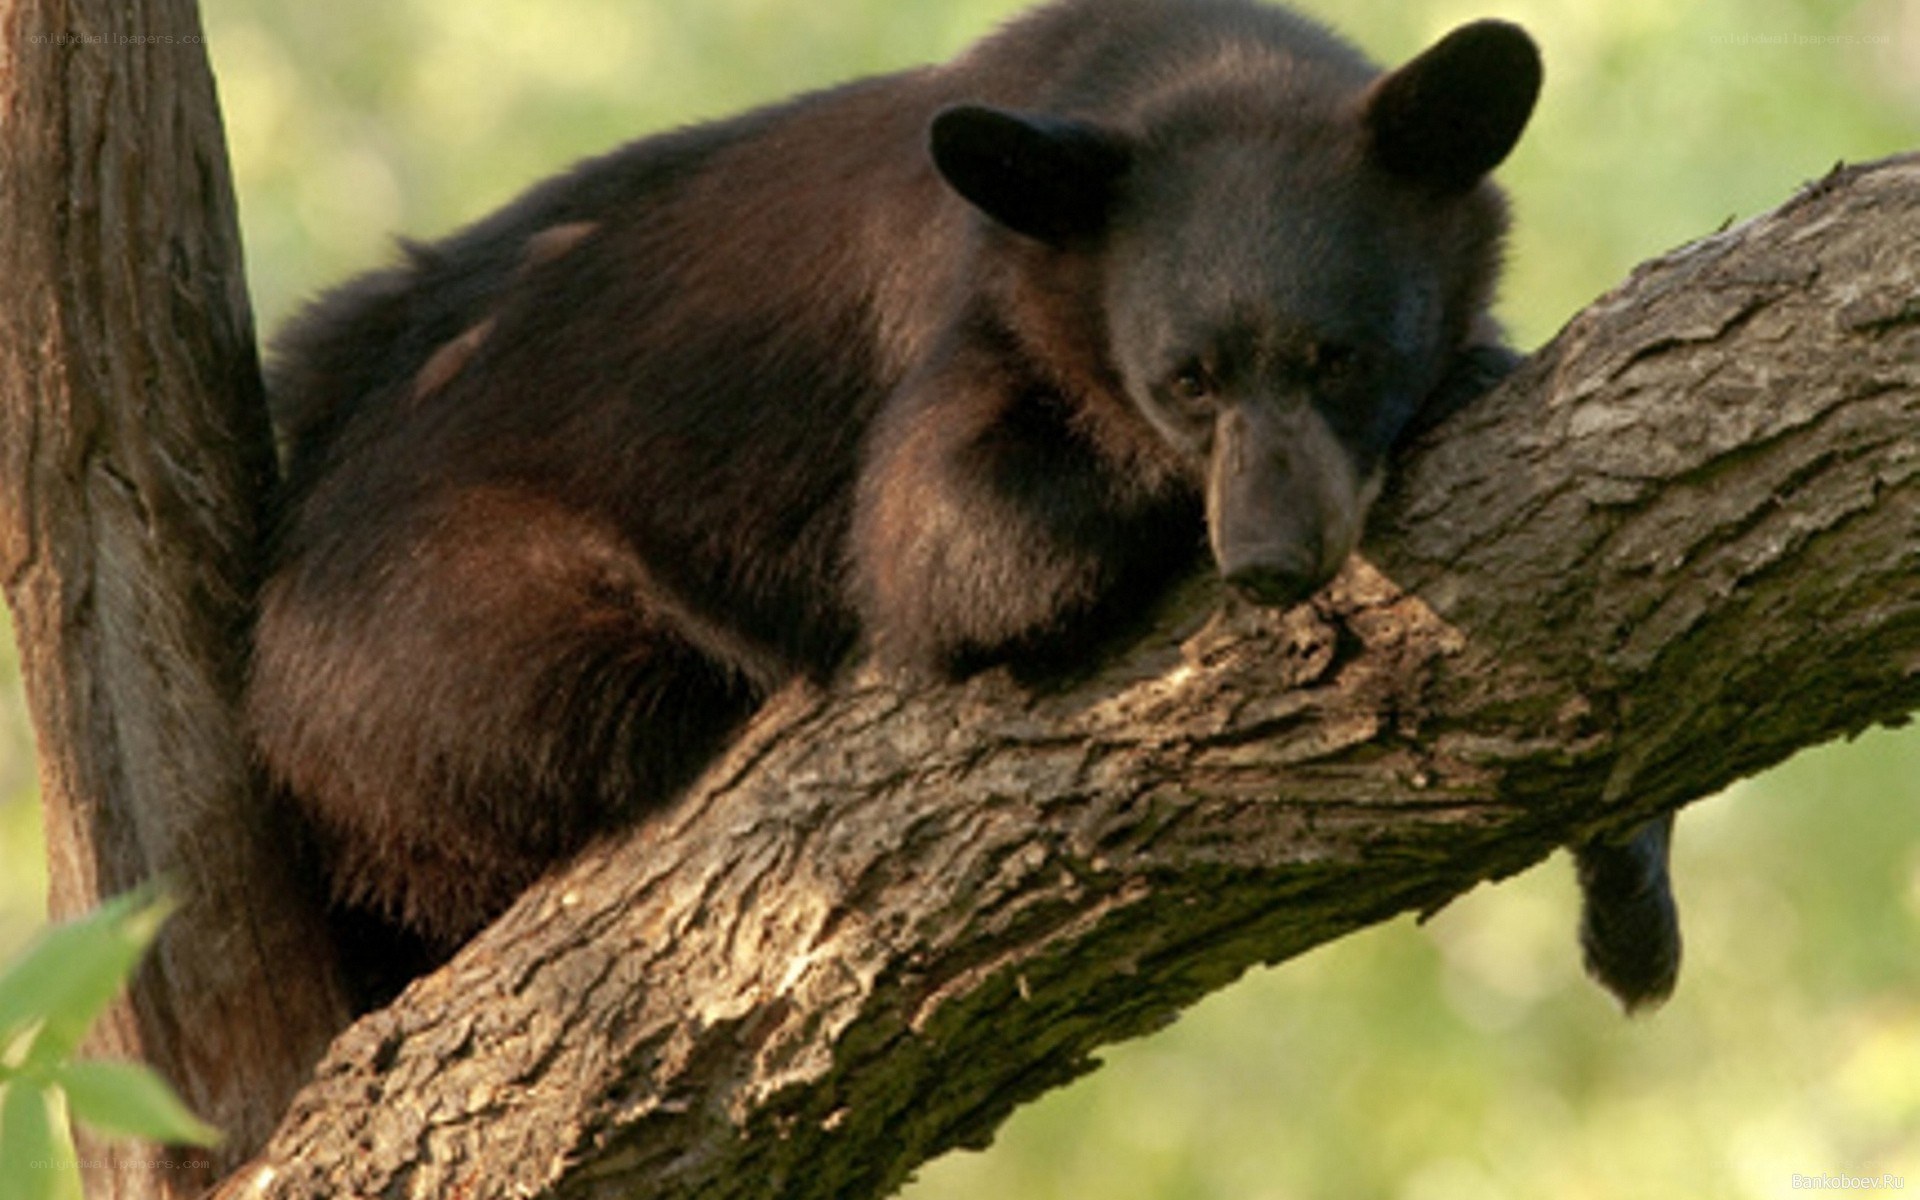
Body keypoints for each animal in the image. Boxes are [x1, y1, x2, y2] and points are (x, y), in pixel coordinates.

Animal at [249, 0, 1677, 1009]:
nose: (1270, 559)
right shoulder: (974, 311)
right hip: (436, 640)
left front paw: (1632, 915)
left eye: (1339, 356)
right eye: (1186, 379)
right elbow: (946, 544)